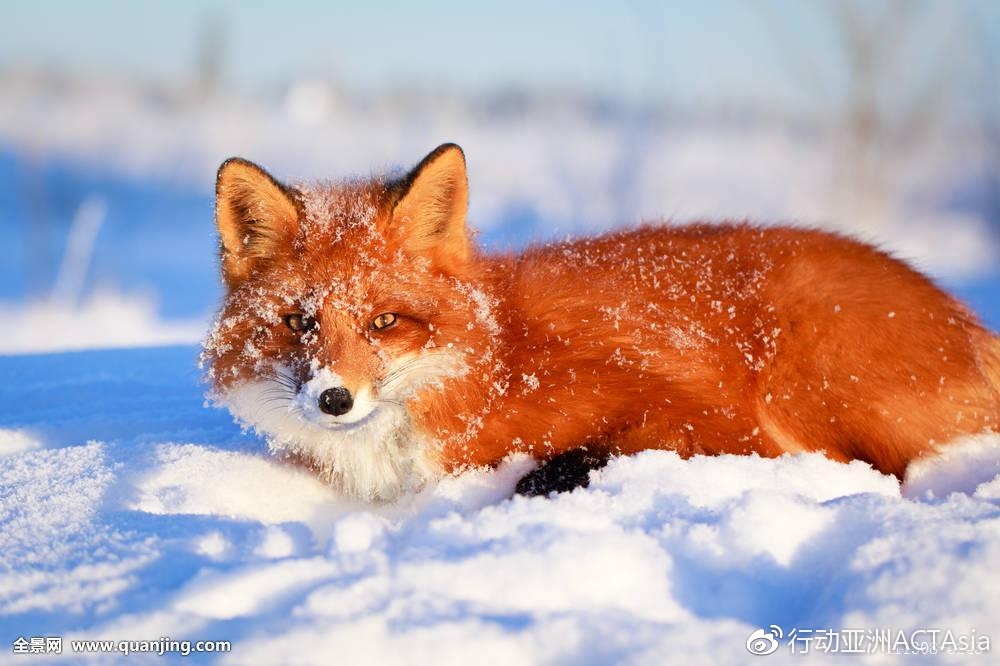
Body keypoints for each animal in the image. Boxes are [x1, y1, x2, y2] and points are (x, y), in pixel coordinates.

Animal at [203, 144, 1000, 498]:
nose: (334, 399)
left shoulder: (711, 418)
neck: (498, 364)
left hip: (809, 383)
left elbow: (591, 454)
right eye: (299, 323)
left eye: (385, 321)